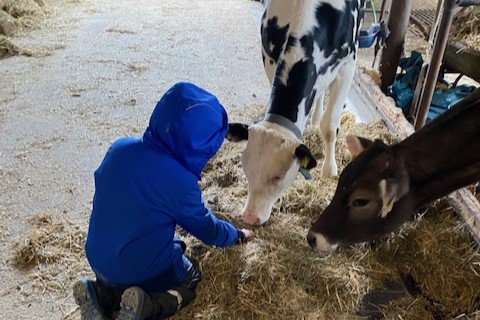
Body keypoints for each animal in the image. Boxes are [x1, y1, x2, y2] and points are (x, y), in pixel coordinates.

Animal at [227, 0, 366, 225]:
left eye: (278, 176)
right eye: (245, 166)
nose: (249, 218)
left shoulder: (348, 64)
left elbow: (330, 126)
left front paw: (330, 169)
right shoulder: (269, 57)